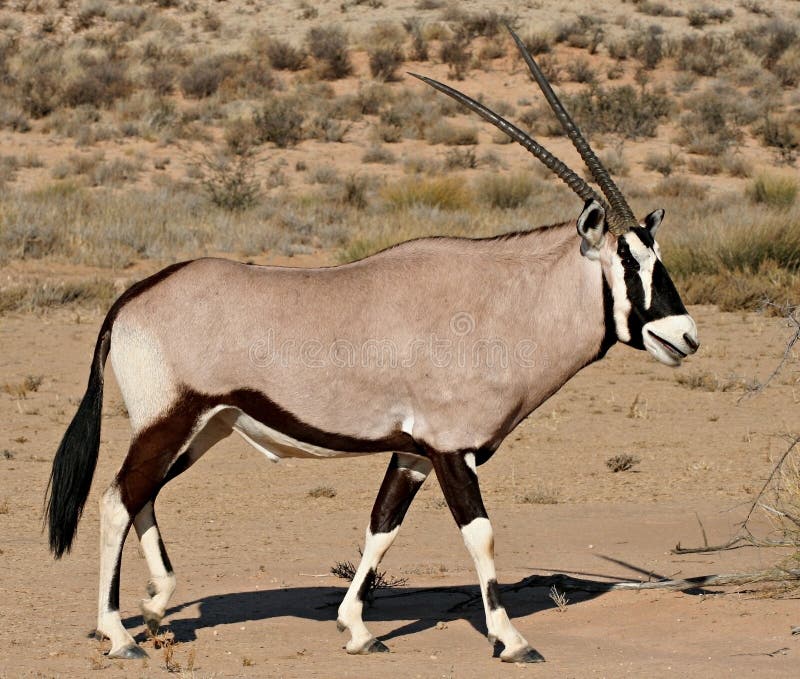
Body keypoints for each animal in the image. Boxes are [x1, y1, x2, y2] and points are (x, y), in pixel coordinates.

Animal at [47, 30, 696, 664]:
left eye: (656, 257)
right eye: (627, 263)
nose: (685, 336)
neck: (500, 303)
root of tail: (134, 295)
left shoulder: (414, 453)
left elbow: (381, 527)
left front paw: (357, 629)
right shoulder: (452, 450)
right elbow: (480, 535)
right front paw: (510, 640)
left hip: (206, 426)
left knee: (144, 495)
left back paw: (158, 604)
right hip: (169, 420)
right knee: (117, 499)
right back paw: (120, 633)